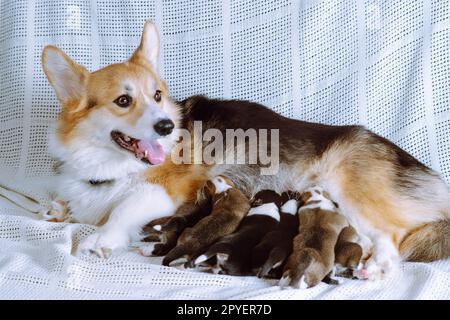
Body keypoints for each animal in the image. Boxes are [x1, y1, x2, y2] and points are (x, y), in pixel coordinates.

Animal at [40, 21, 448, 278]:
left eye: (156, 96)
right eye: (123, 101)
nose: (167, 126)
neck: (109, 163)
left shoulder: (165, 190)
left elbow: (123, 208)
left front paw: (100, 240)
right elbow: (66, 202)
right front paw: (55, 209)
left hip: (350, 191)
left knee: (391, 240)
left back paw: (374, 268)